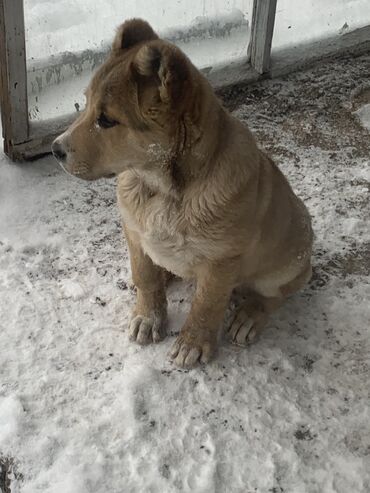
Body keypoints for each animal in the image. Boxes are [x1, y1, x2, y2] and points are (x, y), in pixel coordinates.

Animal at [52, 19, 312, 366]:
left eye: (106, 120)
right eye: (86, 102)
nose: (55, 149)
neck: (163, 190)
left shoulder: (221, 260)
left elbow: (207, 304)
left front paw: (193, 342)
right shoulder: (134, 232)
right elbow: (145, 277)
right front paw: (148, 317)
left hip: (287, 264)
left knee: (274, 295)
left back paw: (249, 315)